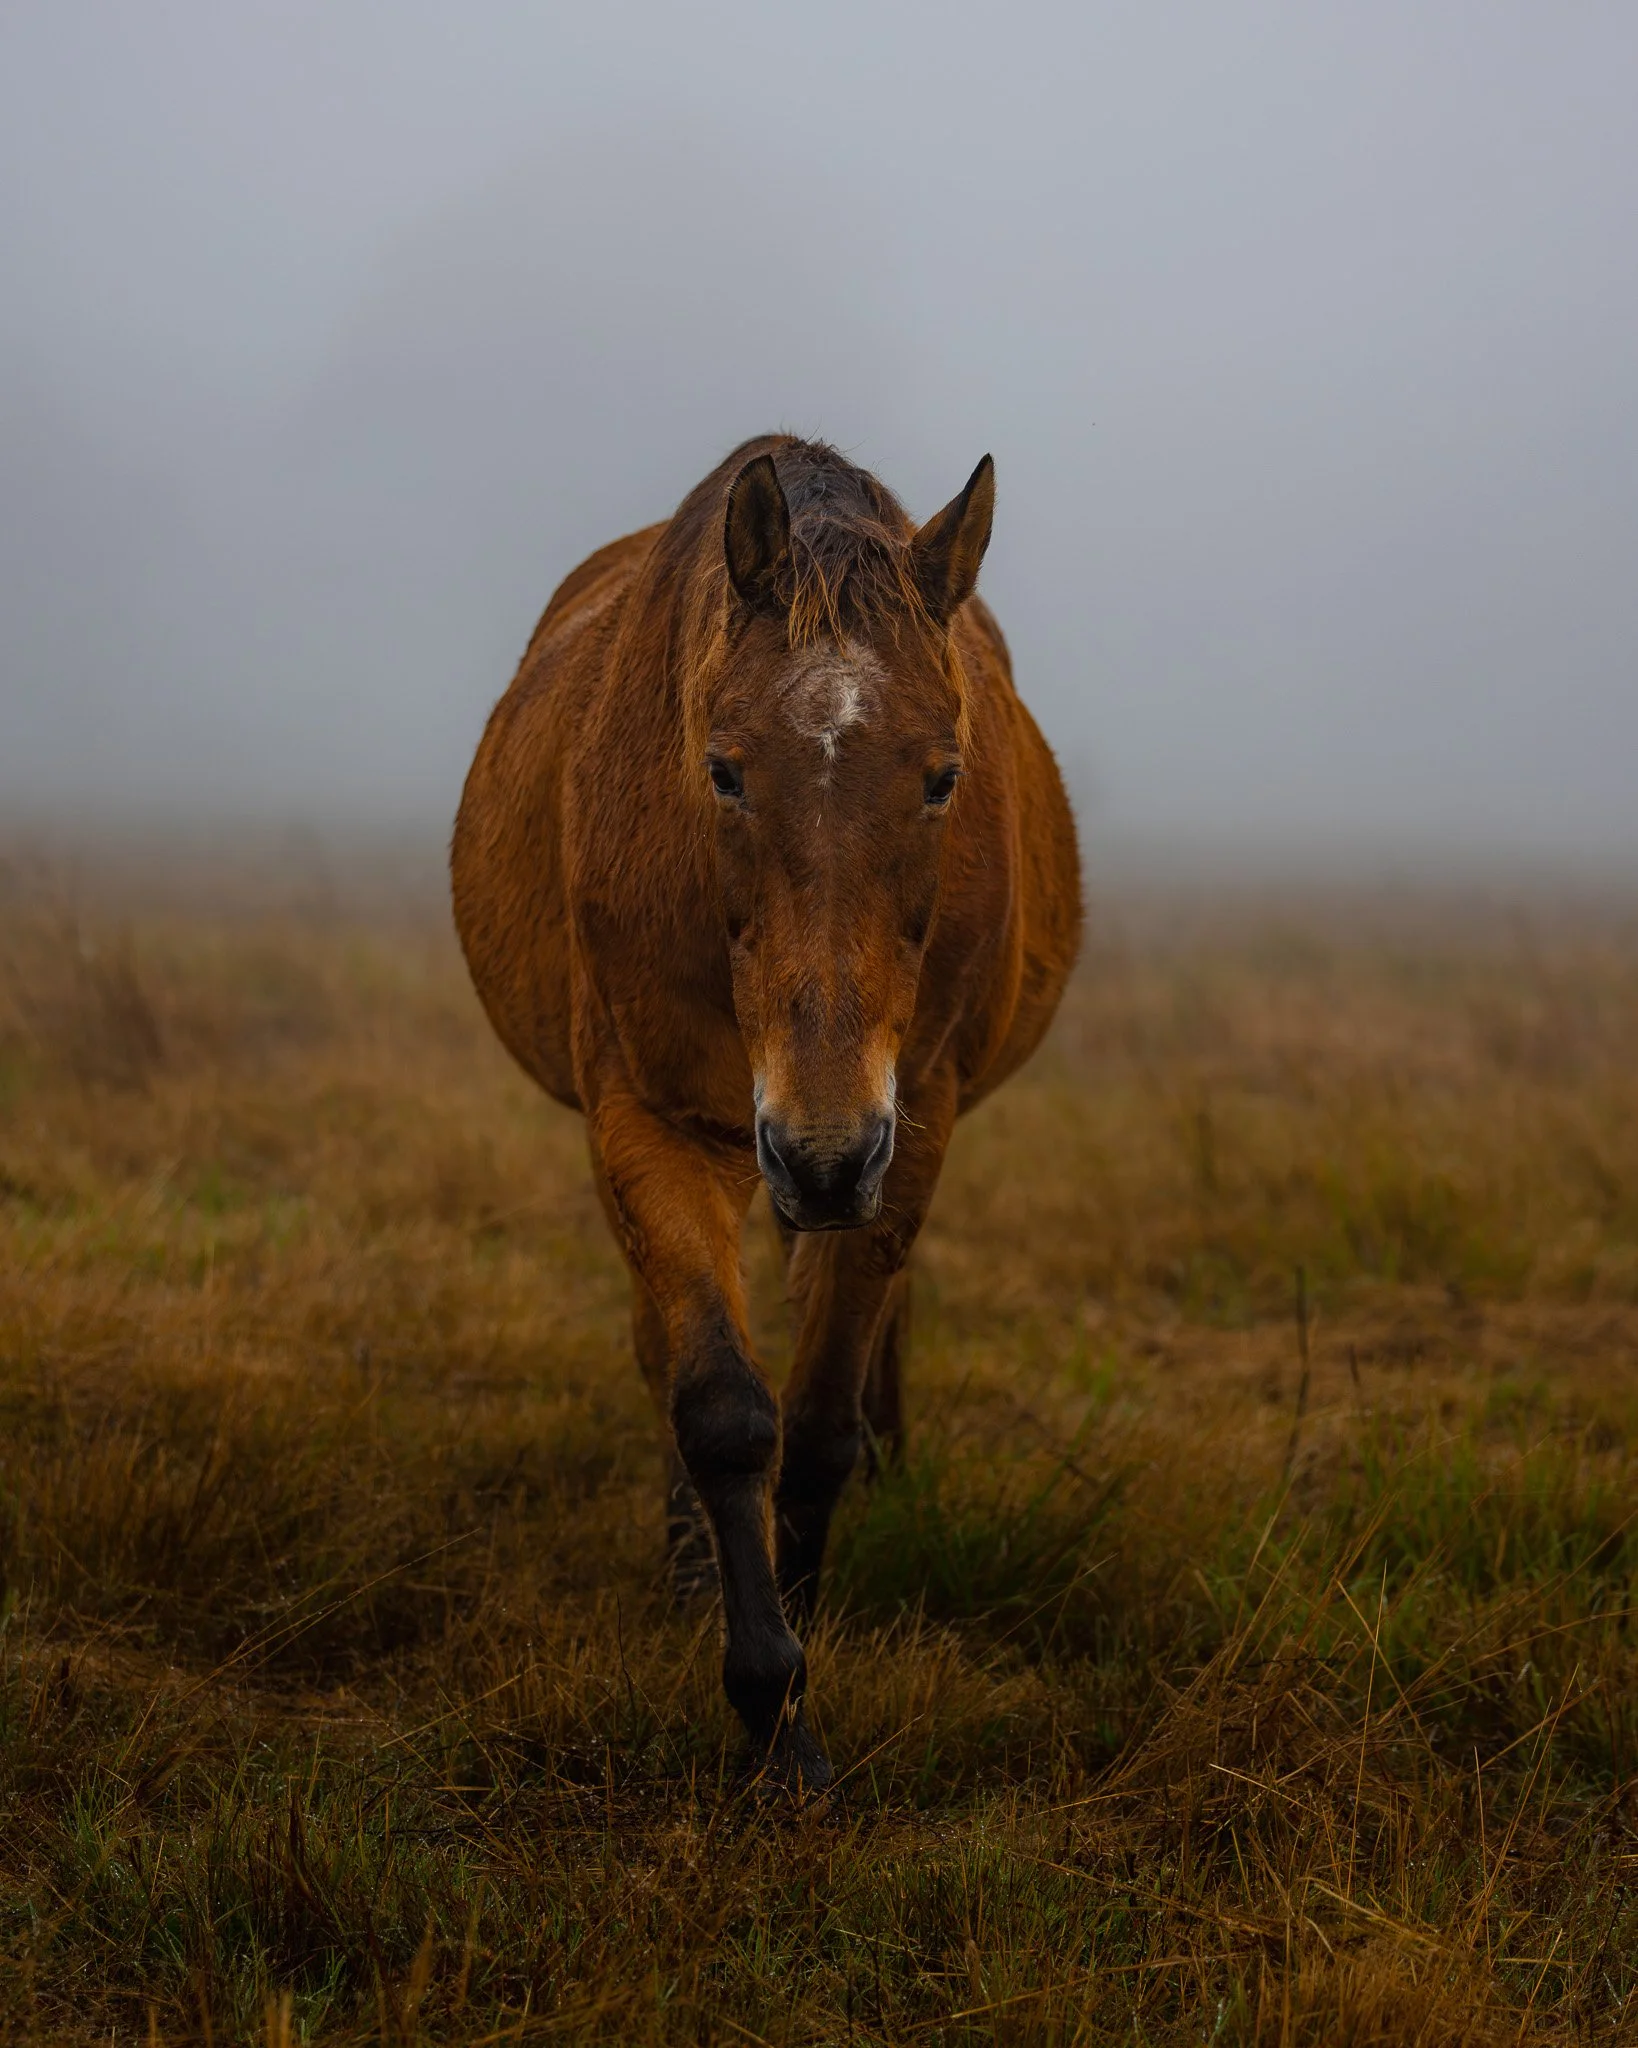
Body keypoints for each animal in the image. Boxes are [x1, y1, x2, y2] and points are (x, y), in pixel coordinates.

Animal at [452, 437, 1080, 1789]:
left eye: (945, 774)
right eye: (723, 768)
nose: (823, 1156)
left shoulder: (913, 1126)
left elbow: (820, 1420)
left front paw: (807, 1629)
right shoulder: (648, 1118)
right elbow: (723, 1407)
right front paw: (771, 1705)